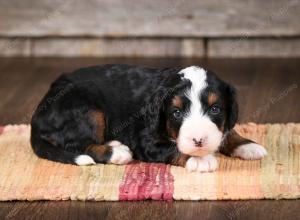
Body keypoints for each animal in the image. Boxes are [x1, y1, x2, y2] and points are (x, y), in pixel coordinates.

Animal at [30, 64, 266, 173]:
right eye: (176, 113)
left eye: (215, 109)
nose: (199, 140)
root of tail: (37, 114)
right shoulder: (146, 140)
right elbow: (175, 148)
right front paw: (200, 159)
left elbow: (227, 131)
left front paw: (247, 145)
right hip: (87, 109)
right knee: (77, 144)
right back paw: (117, 152)